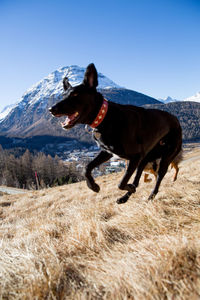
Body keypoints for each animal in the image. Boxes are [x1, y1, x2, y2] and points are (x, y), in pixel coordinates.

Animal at [49, 63, 182, 204]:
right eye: (63, 95)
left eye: (75, 95)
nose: (51, 109)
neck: (105, 118)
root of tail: (176, 120)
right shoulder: (107, 152)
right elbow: (86, 168)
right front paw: (93, 186)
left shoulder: (134, 157)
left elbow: (121, 182)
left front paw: (127, 187)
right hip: (145, 159)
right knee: (137, 179)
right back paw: (124, 198)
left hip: (166, 157)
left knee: (159, 178)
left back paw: (150, 196)